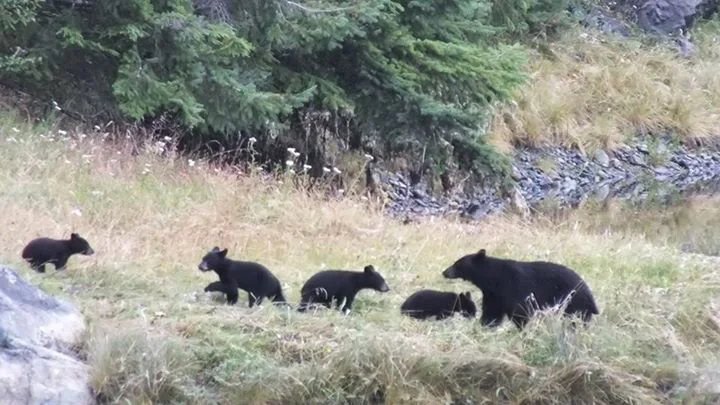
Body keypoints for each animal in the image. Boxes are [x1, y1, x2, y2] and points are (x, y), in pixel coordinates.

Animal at [442, 249, 599, 330]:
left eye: (457, 263)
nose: (445, 272)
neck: (493, 279)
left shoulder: (513, 287)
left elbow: (519, 311)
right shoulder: (493, 295)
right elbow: (492, 312)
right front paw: (485, 325)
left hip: (574, 300)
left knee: (576, 318)